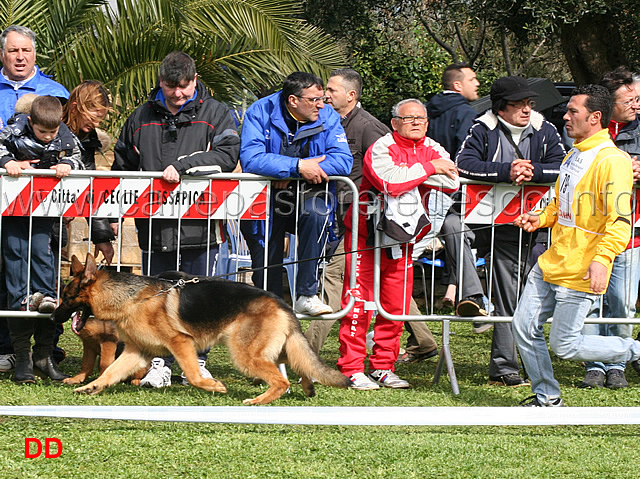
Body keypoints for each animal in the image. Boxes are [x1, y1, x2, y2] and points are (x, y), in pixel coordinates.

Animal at [53, 255, 350, 404]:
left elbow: (194, 376)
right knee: (300, 362)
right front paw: (91, 387)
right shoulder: (136, 352)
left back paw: (257, 401)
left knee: (281, 380)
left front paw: (213, 386)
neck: (132, 297)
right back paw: (307, 387)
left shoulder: (180, 343)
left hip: (245, 354)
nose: (54, 317)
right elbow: (109, 372)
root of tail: (281, 302)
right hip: (270, 349)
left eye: (66, 298)